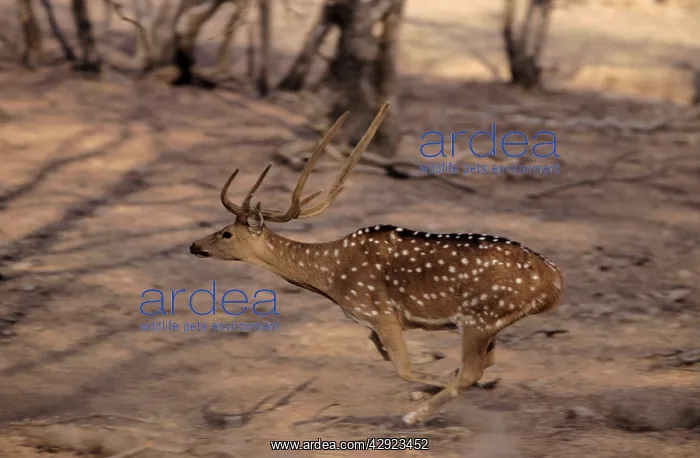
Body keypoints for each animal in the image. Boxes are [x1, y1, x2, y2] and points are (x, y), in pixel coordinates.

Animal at [189, 101, 565, 425]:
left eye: (226, 233)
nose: (194, 245)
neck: (330, 277)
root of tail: (555, 282)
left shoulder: (379, 312)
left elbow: (402, 366)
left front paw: (423, 389)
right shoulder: (375, 321)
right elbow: (383, 354)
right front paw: (434, 375)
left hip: (480, 316)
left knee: (472, 369)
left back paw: (416, 413)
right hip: (491, 322)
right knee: (486, 362)